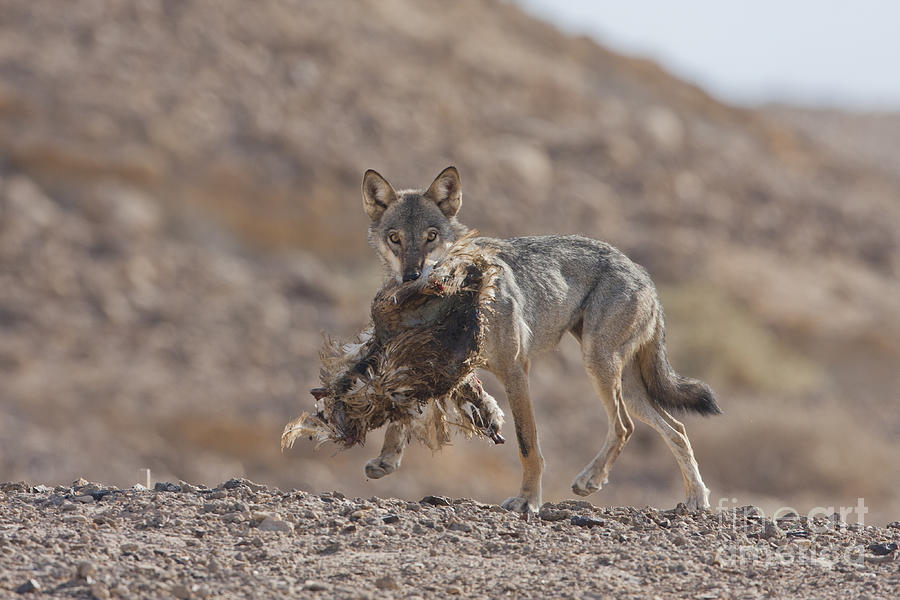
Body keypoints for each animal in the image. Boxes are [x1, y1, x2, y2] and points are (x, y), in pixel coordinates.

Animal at [358, 165, 716, 516]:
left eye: (431, 237)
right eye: (395, 238)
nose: (412, 277)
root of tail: (643, 274)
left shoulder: (515, 369)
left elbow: (527, 443)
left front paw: (528, 500)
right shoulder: (438, 366)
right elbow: (402, 411)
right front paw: (387, 458)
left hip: (599, 367)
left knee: (625, 426)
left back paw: (591, 481)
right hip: (626, 385)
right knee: (676, 430)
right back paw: (696, 499)